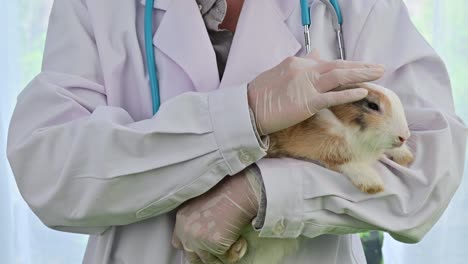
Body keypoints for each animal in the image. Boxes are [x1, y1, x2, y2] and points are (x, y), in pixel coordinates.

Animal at [231, 82, 414, 264]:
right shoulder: (323, 146)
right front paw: (372, 183)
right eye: (372, 105)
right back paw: (236, 249)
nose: (404, 137)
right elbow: (344, 161)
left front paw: (405, 156)